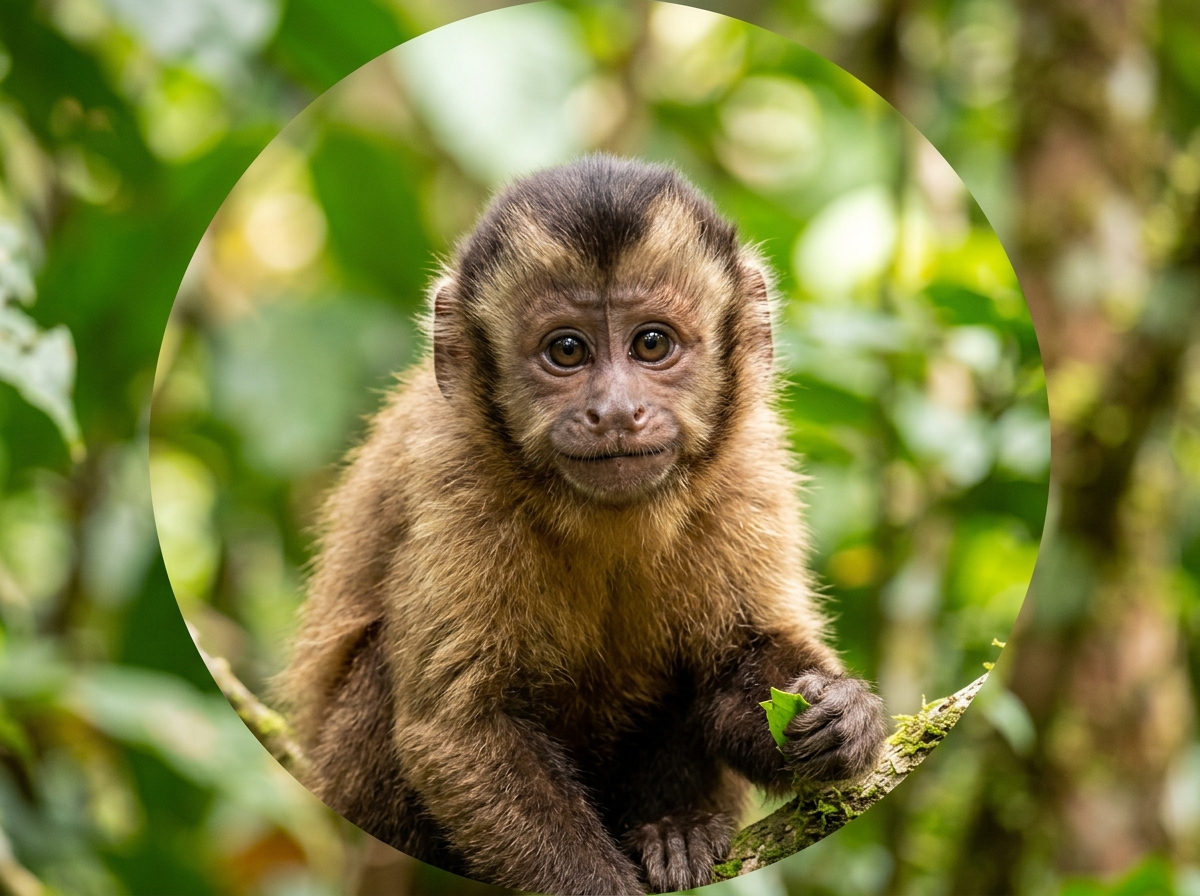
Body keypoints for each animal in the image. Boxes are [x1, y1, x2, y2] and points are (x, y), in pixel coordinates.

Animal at [276, 154, 888, 895]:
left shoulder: (749, 471)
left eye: (652, 343)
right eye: (566, 351)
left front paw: (845, 717)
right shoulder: (455, 484)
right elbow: (458, 727)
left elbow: (738, 659)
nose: (616, 412)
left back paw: (677, 832)